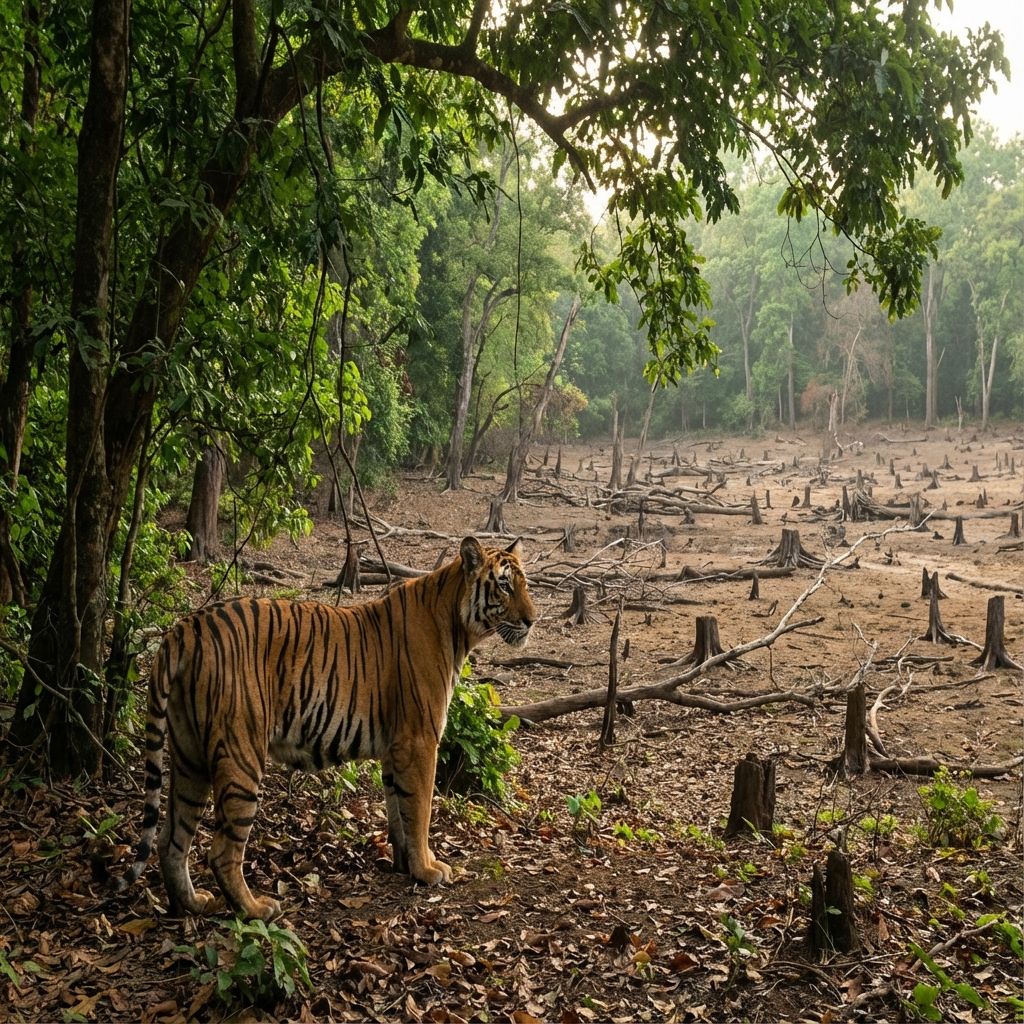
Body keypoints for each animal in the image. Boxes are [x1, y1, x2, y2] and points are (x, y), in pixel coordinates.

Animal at [115, 536, 536, 921]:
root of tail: (186, 627)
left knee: (171, 839)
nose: (532, 620)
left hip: (189, 756)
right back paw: (255, 909)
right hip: (240, 754)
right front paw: (428, 869)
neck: (456, 622)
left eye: (526, 583)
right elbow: (420, 810)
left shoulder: (395, 748)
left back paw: (190, 904)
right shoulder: (419, 740)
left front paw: (405, 865)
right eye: (504, 585)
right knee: (220, 851)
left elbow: (398, 810)